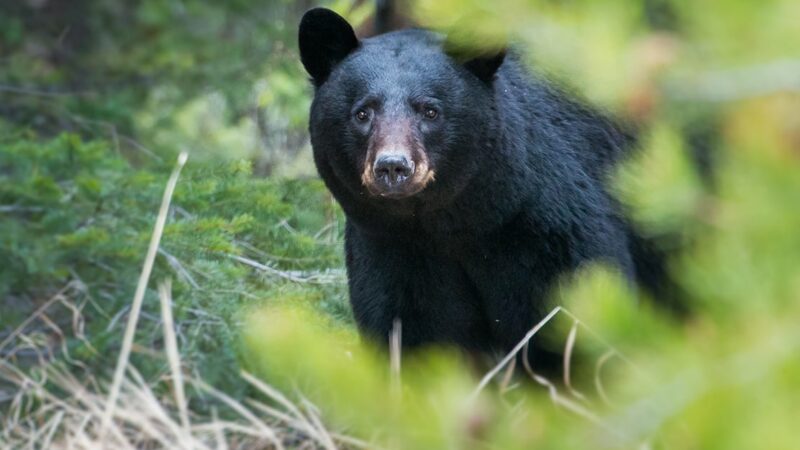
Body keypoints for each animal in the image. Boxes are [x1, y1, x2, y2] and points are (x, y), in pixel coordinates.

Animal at [298, 7, 636, 356]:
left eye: (430, 111)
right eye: (363, 113)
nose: (393, 166)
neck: (456, 224)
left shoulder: (549, 231)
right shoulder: (393, 248)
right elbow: (412, 329)